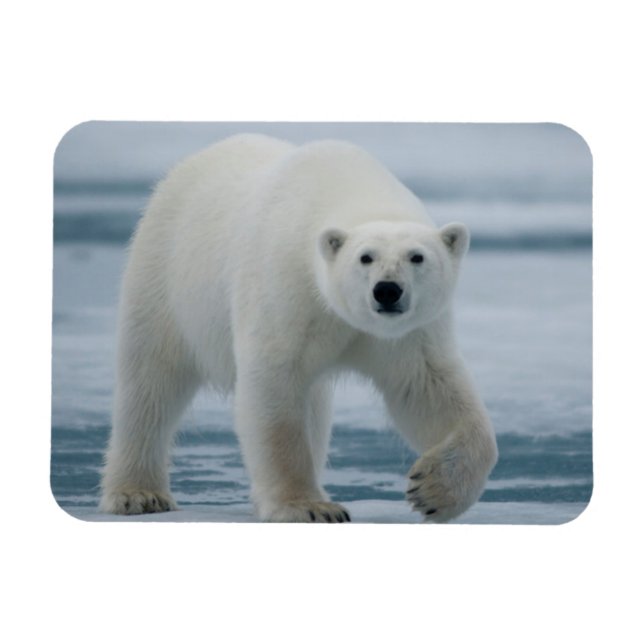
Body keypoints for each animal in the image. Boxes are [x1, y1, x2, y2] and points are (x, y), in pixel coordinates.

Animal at [99, 133, 498, 523]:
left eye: (417, 257)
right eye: (365, 257)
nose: (387, 290)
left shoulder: (408, 334)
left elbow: (427, 387)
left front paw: (434, 491)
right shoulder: (287, 287)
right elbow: (275, 389)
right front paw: (308, 506)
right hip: (164, 275)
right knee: (150, 383)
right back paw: (138, 494)